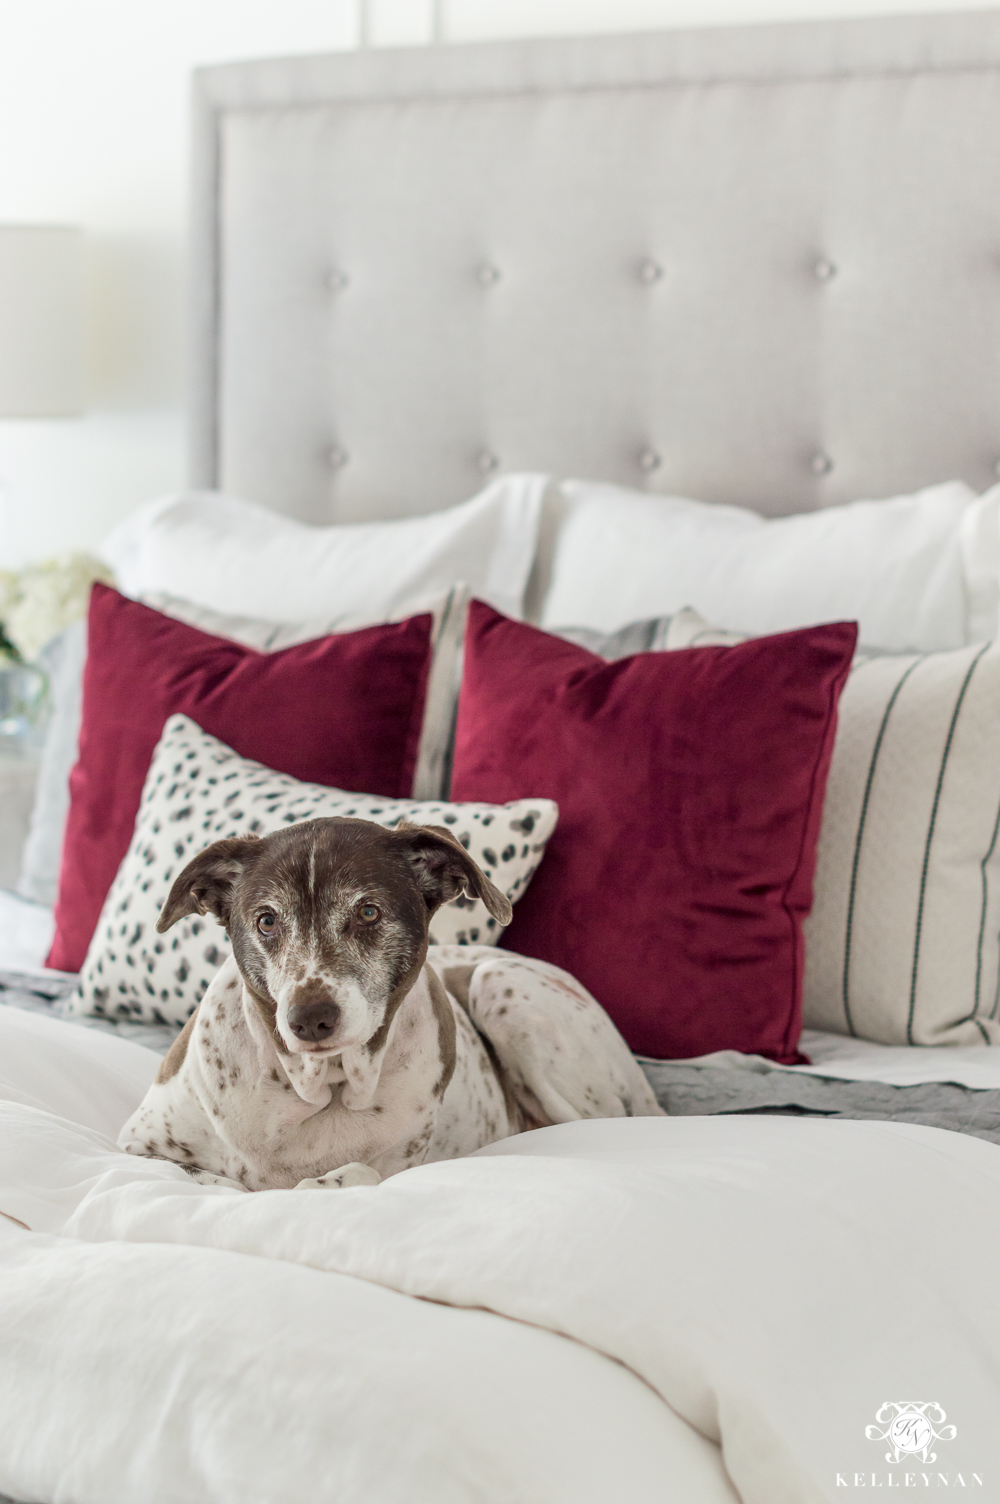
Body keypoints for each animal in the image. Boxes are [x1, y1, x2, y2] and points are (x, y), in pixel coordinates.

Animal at [118, 818, 661, 1191]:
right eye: (266, 920)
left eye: (368, 912)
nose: (309, 1018)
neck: (321, 1091)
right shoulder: (137, 1148)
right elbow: (212, 1177)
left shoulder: (397, 1165)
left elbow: (354, 1173)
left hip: (502, 988)